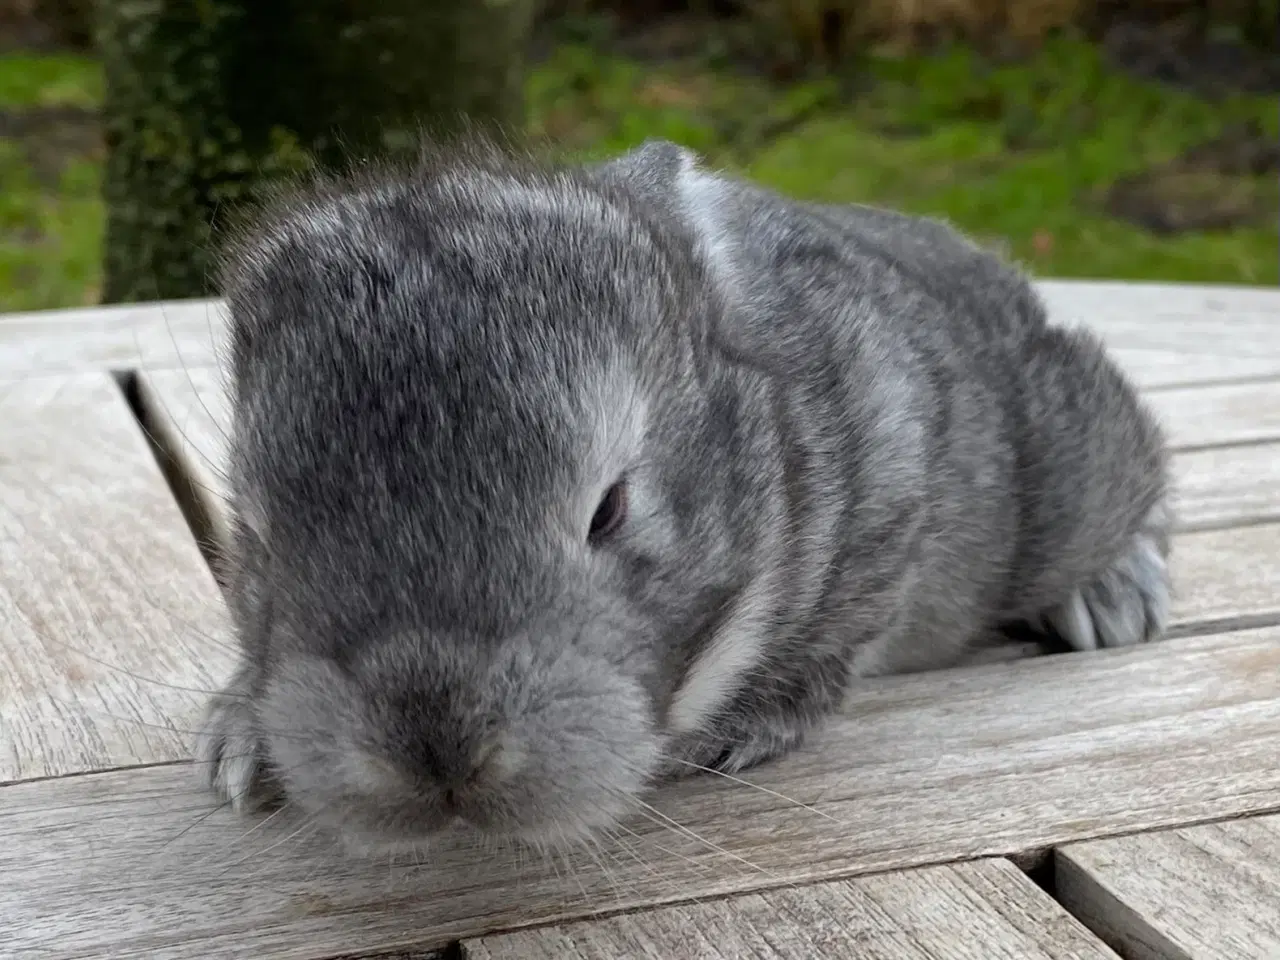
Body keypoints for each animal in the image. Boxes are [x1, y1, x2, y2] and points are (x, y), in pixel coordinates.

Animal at [199, 136, 1172, 855]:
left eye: (610, 509)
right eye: (257, 532)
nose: (436, 751)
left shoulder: (887, 491)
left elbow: (826, 652)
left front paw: (728, 739)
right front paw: (240, 743)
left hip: (1059, 479)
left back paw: (1116, 592)